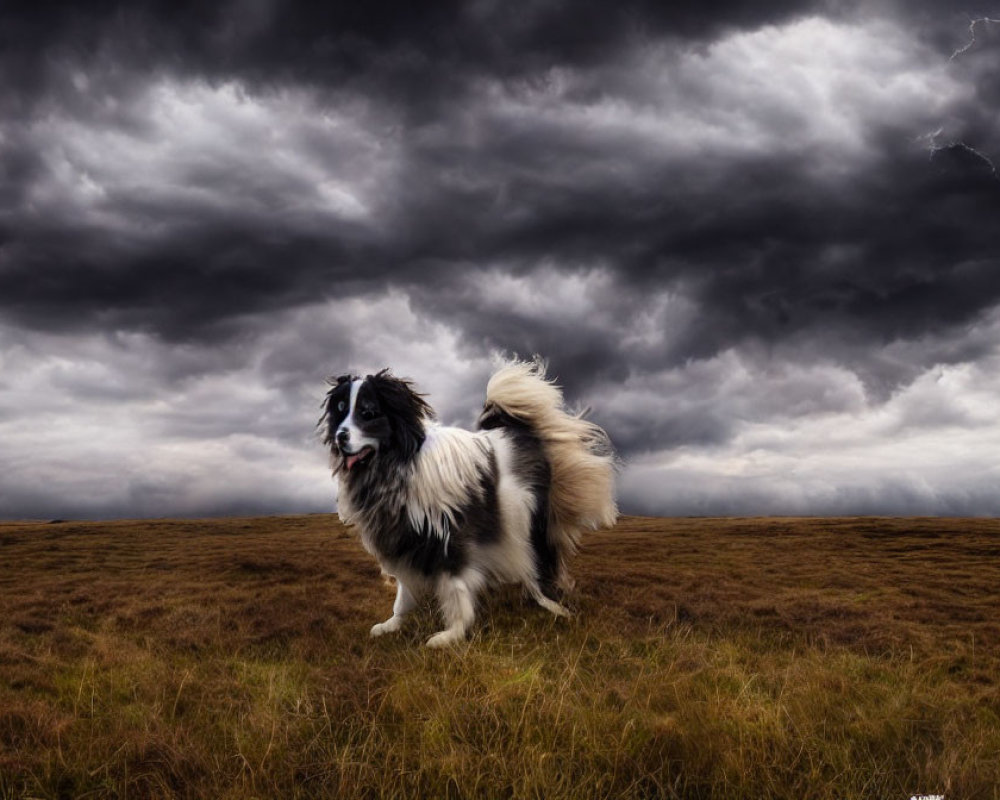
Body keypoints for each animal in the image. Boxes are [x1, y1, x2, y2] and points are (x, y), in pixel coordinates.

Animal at [322, 360, 616, 648]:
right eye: (341, 411)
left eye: (368, 413)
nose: (340, 436)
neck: (398, 463)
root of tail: (520, 432)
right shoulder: (406, 539)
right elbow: (404, 593)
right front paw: (393, 624)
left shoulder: (450, 538)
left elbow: (456, 588)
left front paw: (452, 633)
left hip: (525, 518)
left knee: (541, 559)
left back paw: (551, 603)